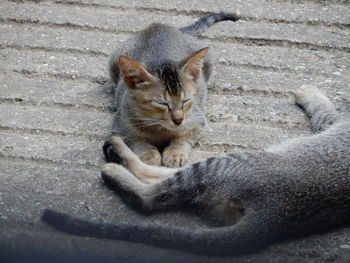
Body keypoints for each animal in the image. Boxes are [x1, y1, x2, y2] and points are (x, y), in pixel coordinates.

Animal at [43, 86, 350, 256]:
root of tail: (276, 217)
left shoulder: (333, 121)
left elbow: (323, 106)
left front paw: (309, 91)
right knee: (160, 176)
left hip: (225, 164)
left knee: (149, 195)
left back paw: (114, 164)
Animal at [106, 12, 241, 167]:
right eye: (162, 103)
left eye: (186, 100)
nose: (178, 120)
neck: (159, 128)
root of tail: (160, 26)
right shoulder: (120, 124)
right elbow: (135, 138)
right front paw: (147, 154)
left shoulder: (198, 120)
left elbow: (185, 136)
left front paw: (175, 152)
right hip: (113, 60)